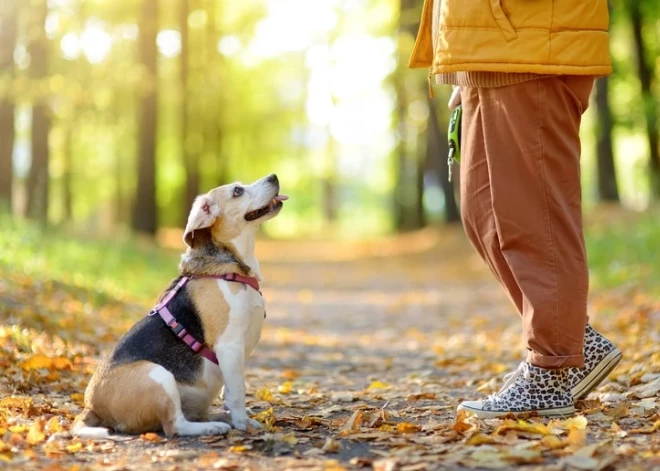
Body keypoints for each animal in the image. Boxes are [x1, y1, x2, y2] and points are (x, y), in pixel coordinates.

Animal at [73, 173, 288, 438]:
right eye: (237, 191)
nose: (273, 177)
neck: (230, 270)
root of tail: (91, 407)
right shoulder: (229, 346)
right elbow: (238, 391)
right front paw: (243, 423)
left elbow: (231, 390)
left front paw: (236, 417)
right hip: (157, 374)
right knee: (174, 425)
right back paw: (213, 426)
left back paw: (216, 418)